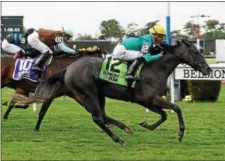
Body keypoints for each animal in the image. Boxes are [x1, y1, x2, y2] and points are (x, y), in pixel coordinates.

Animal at [14, 39, 212, 145]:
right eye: (195, 52)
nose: (208, 69)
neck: (155, 68)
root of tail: (69, 67)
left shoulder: (147, 101)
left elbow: (164, 114)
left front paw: (146, 125)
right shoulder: (148, 98)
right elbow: (176, 109)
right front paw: (180, 134)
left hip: (98, 94)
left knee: (103, 115)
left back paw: (125, 128)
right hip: (87, 93)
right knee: (98, 118)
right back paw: (119, 139)